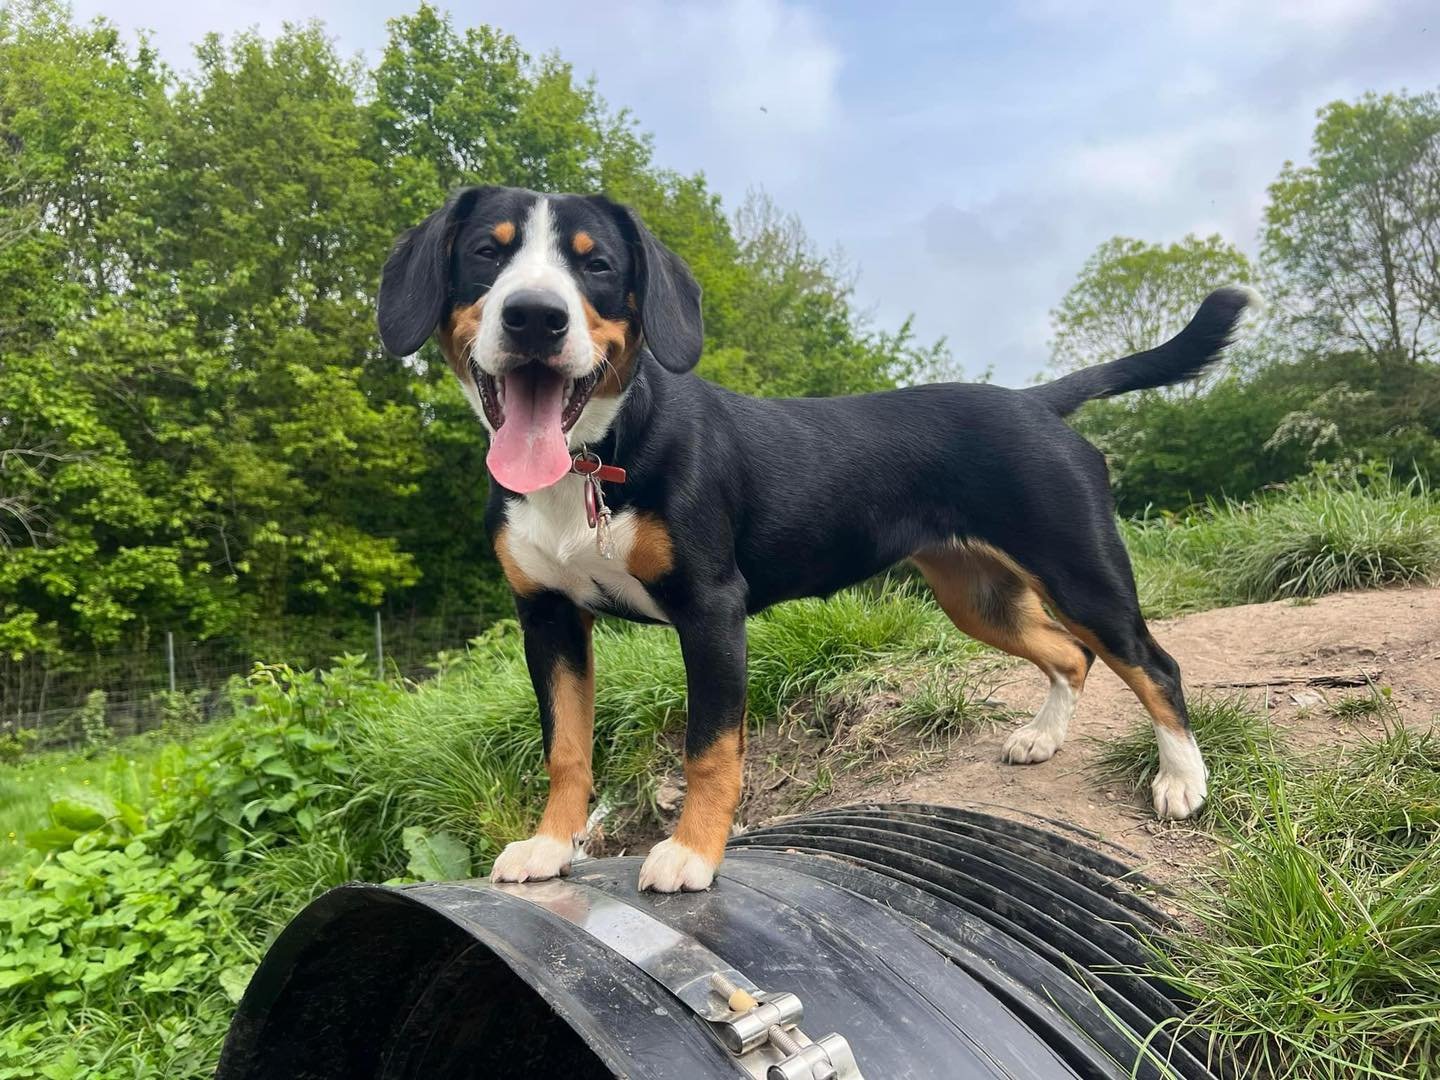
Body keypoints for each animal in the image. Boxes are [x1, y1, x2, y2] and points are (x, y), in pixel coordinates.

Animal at [377, 188, 1255, 898]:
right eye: (486, 252)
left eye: (595, 266)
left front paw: (692, 854)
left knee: (1152, 664)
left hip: (1081, 572)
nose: (534, 316)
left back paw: (1182, 779)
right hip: (976, 597)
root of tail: (1035, 401)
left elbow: (709, 749)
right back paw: (1044, 737)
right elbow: (566, 747)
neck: (594, 458)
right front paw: (551, 848)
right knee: (1069, 656)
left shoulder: (712, 610)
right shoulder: (548, 617)